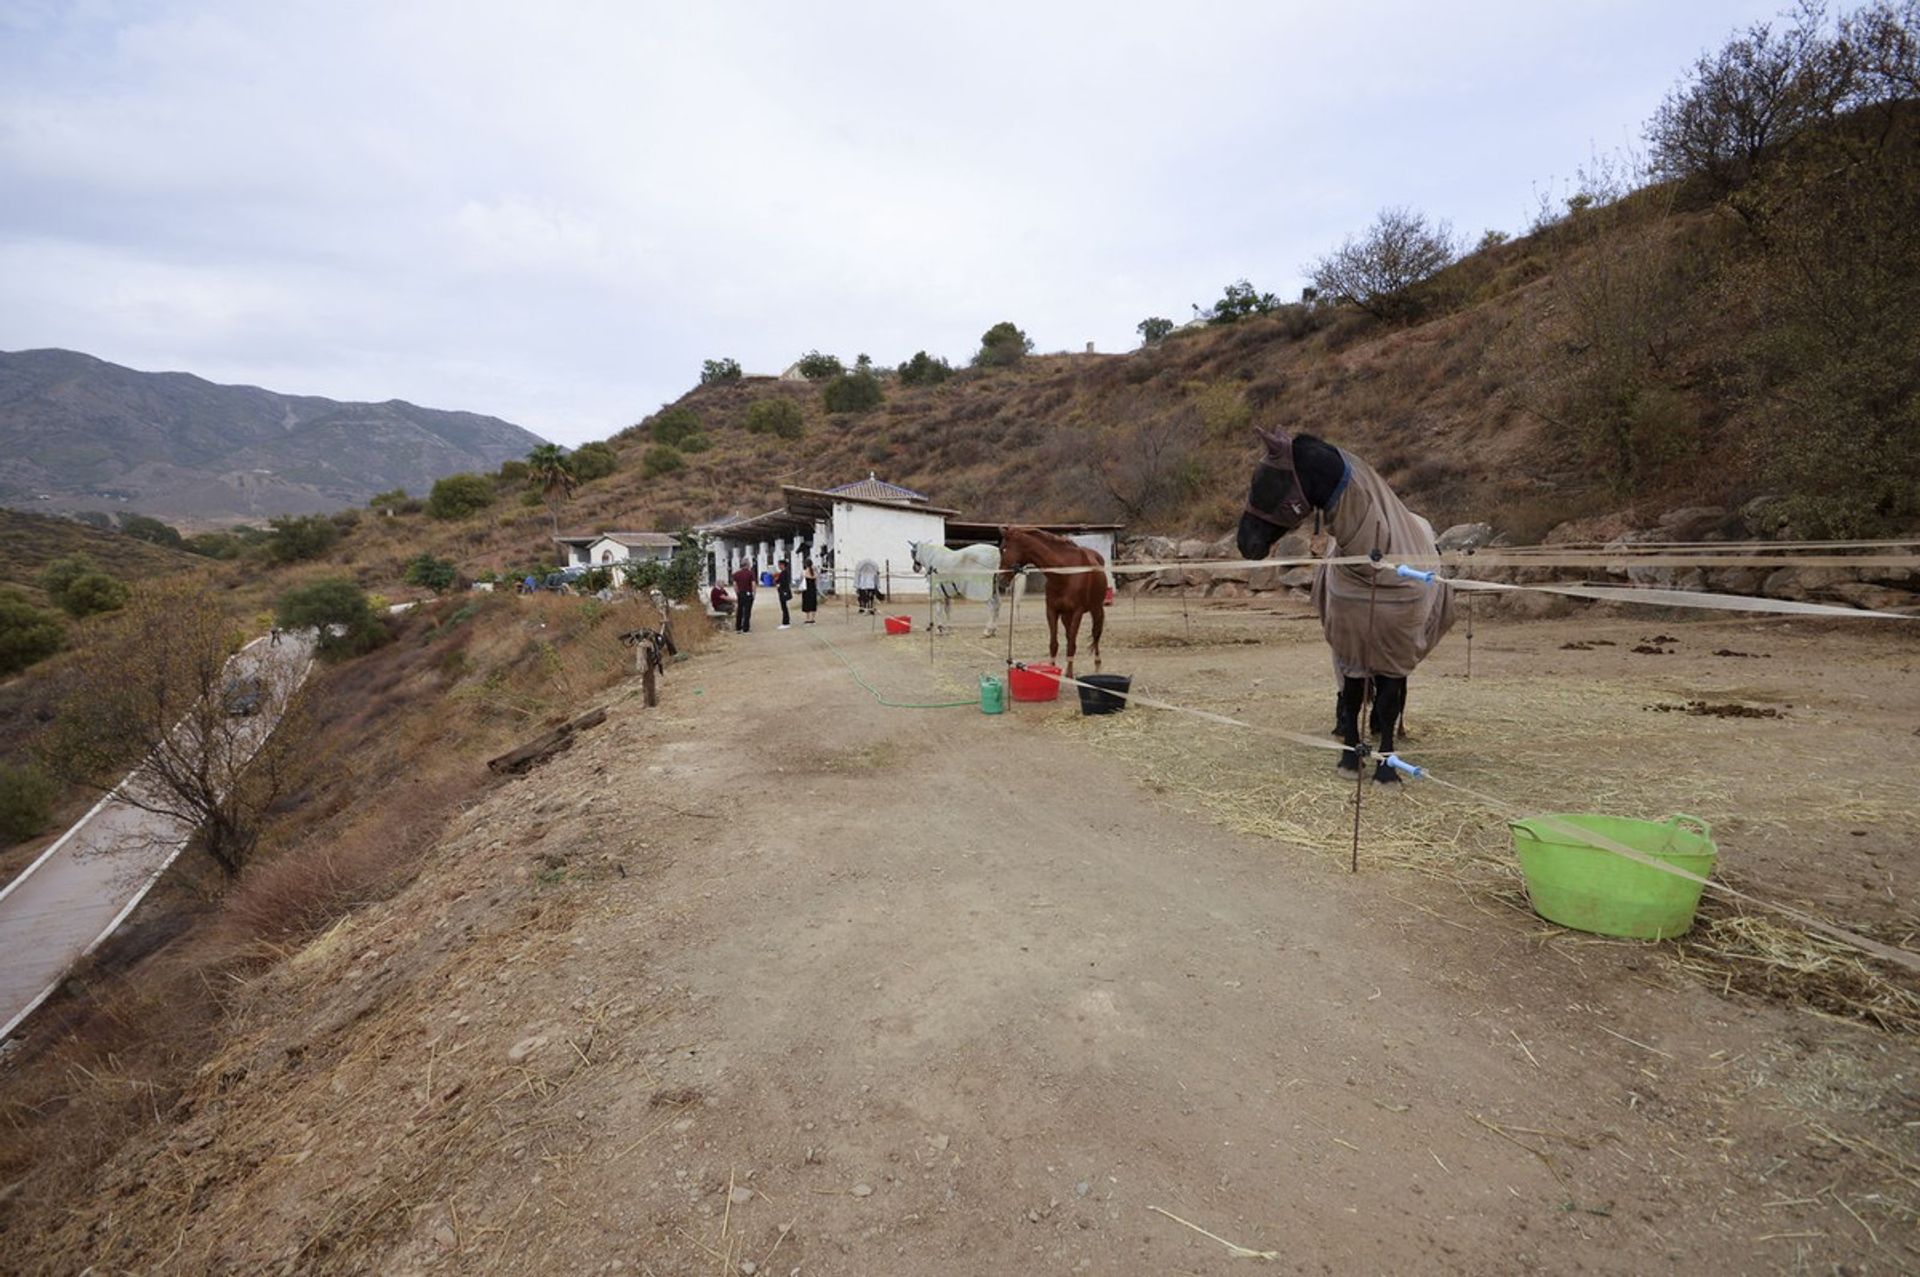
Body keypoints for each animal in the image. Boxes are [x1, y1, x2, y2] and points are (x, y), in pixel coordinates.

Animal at [998, 522, 1105, 675]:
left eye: (1003, 549)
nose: (1000, 580)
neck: (1065, 574)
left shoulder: (1077, 612)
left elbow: (1071, 645)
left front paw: (1069, 674)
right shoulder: (1051, 611)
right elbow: (1054, 644)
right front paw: (1052, 671)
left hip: (1096, 609)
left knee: (1096, 634)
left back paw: (1097, 663)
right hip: (1066, 616)